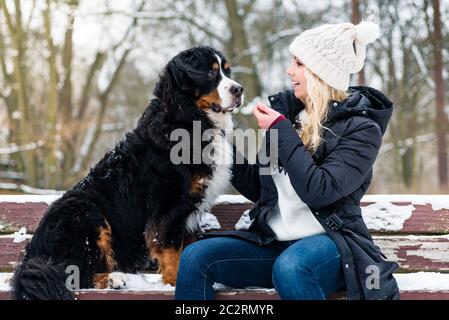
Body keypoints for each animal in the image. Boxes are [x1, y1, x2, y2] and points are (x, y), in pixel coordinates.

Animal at [12, 47, 242, 300]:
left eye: (227, 71)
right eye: (210, 73)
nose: (239, 89)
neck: (188, 119)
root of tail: (31, 255)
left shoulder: (188, 208)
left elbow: (187, 247)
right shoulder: (168, 207)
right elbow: (172, 248)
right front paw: (175, 279)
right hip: (87, 216)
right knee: (72, 273)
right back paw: (114, 279)